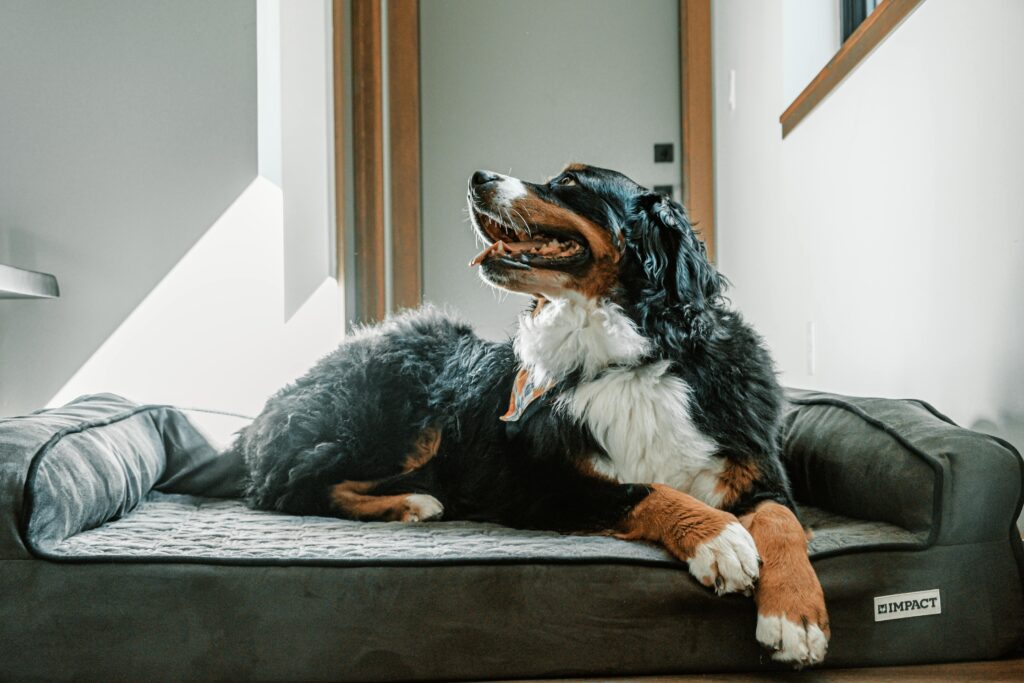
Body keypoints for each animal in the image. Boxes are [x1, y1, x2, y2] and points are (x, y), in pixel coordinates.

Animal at [237, 163, 831, 667]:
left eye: (569, 181)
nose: (477, 177)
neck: (629, 363)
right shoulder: (539, 486)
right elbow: (647, 491)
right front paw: (720, 539)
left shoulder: (757, 472)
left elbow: (780, 522)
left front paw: (795, 617)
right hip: (394, 419)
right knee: (293, 489)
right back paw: (412, 503)